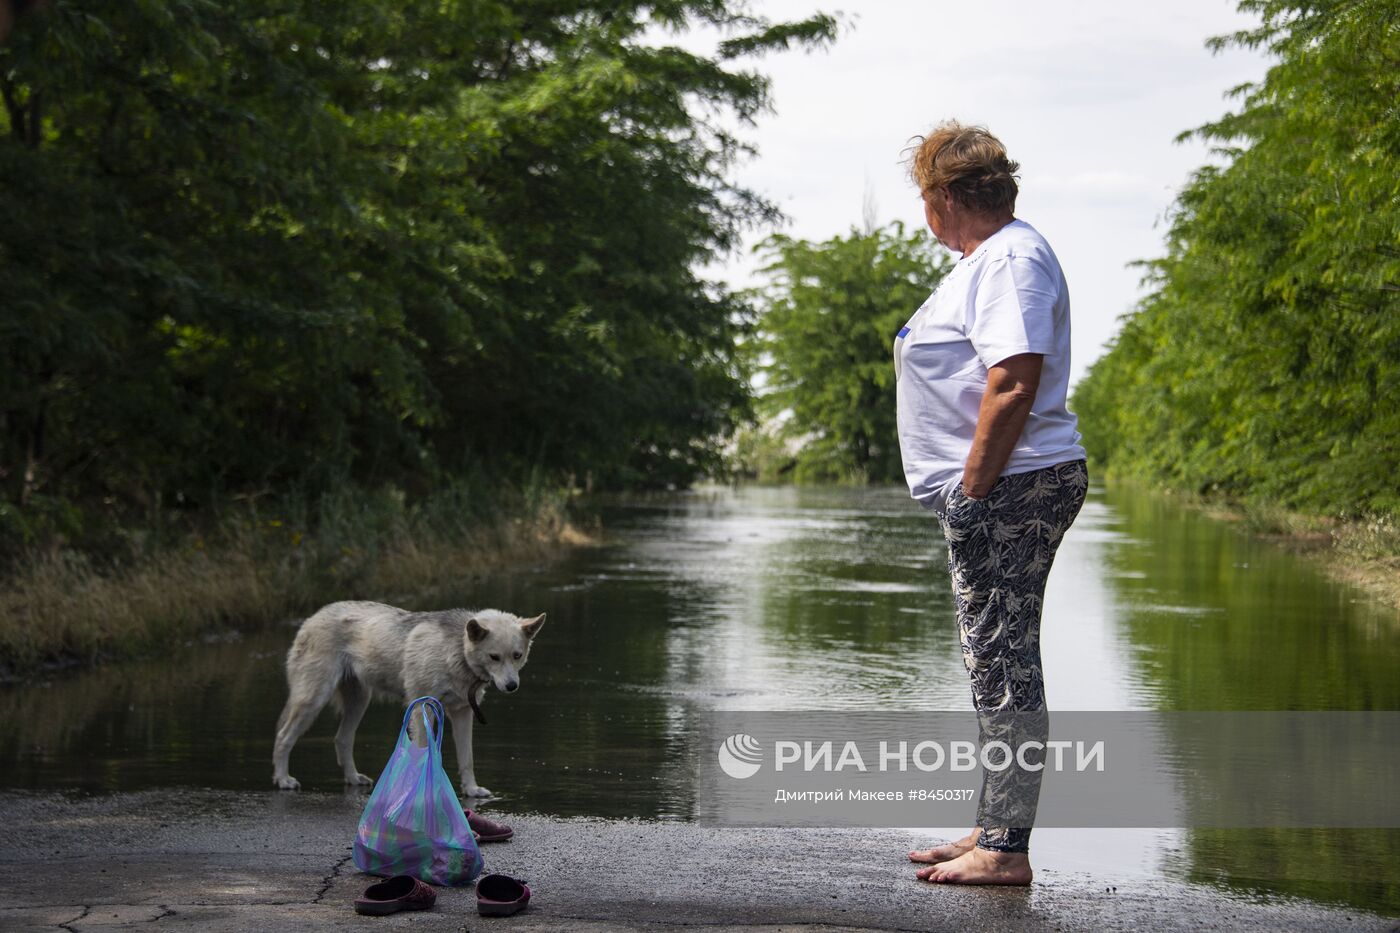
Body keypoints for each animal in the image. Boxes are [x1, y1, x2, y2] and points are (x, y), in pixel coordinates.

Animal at [270, 602, 543, 790]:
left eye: (517, 656)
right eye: (494, 657)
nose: (511, 686)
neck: (456, 651)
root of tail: (312, 617)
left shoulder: (462, 713)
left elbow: (467, 759)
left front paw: (472, 790)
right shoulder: (423, 710)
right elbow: (425, 751)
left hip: (358, 702)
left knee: (342, 740)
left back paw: (353, 778)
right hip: (313, 700)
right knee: (283, 737)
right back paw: (283, 779)